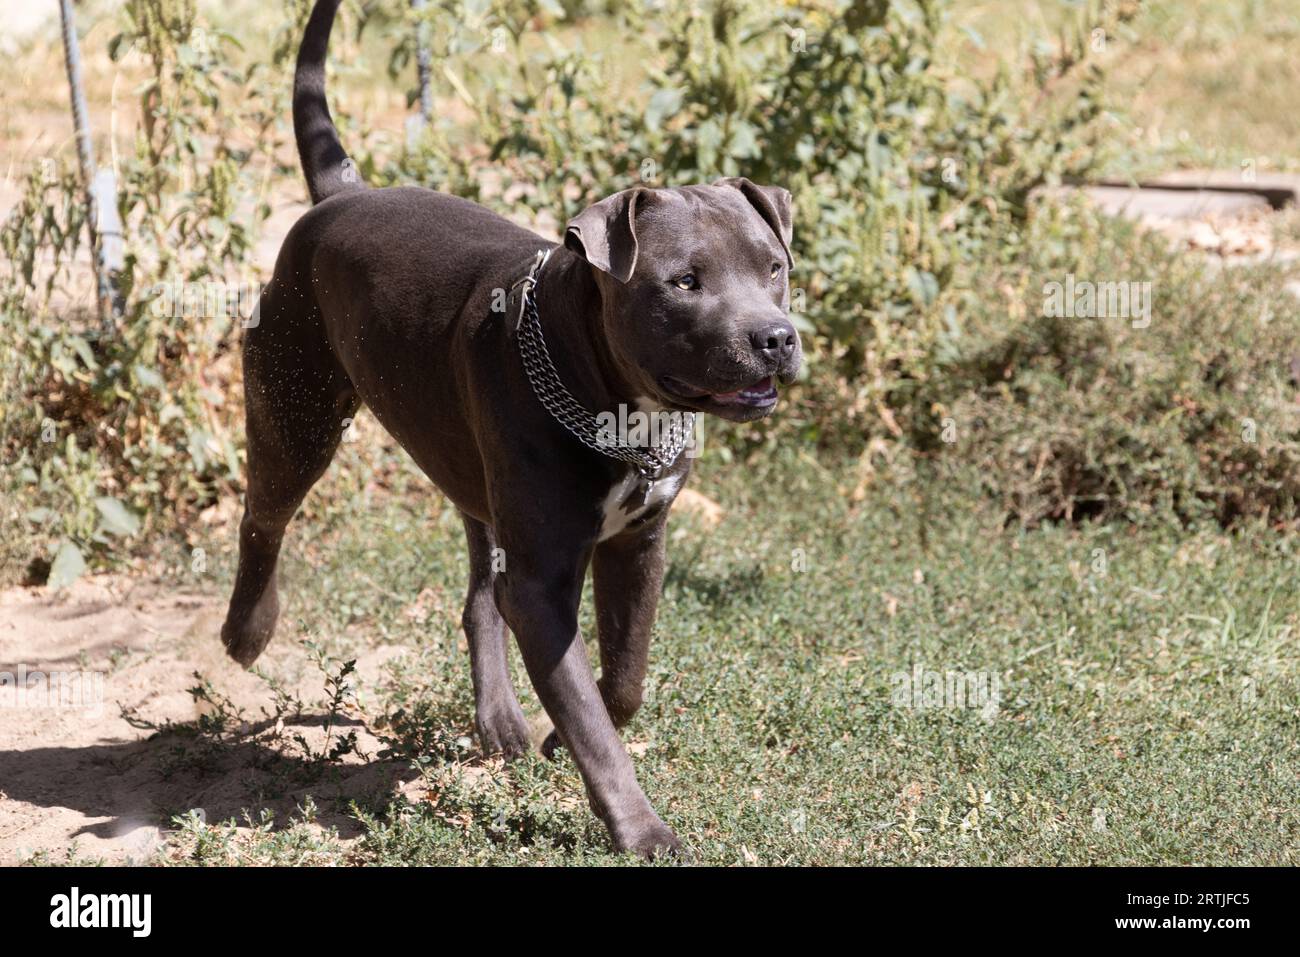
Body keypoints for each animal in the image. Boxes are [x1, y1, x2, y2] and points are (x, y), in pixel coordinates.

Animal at [218, 0, 795, 852]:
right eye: (685, 281)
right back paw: (247, 631)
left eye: (773, 266)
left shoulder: (637, 542)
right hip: (296, 410)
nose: (776, 337)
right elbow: (592, 718)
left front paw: (562, 736)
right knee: (264, 515)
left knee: (478, 592)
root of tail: (339, 195)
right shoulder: (544, 581)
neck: (617, 406)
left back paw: (501, 720)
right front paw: (639, 827)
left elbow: (622, 677)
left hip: (465, 463)